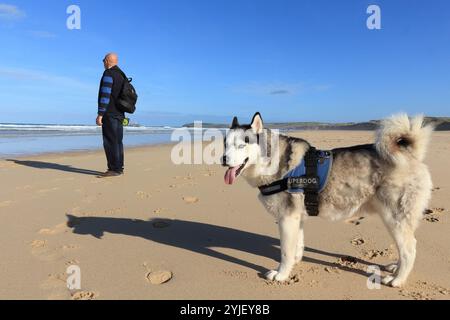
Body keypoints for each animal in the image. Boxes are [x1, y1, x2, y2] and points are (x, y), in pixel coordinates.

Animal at [223, 112, 434, 288]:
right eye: (226, 144)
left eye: (242, 144)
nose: (223, 159)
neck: (274, 161)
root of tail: (410, 155)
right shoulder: (296, 218)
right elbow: (296, 245)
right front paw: (295, 262)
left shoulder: (286, 218)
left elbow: (285, 251)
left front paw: (282, 274)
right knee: (405, 246)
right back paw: (395, 268)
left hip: (394, 218)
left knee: (409, 249)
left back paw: (398, 279)